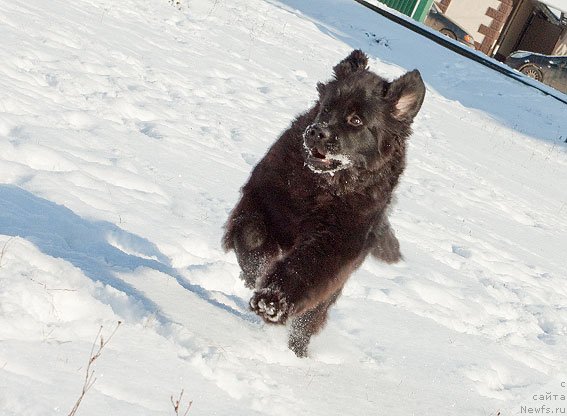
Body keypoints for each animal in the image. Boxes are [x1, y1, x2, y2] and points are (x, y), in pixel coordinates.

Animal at [224, 49, 424, 358]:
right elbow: (251, 234)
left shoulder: (337, 240)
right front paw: (255, 272)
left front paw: (271, 302)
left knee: (309, 320)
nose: (317, 131)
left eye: (356, 121)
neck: (321, 189)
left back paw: (296, 354)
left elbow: (304, 268)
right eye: (327, 108)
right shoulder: (264, 197)